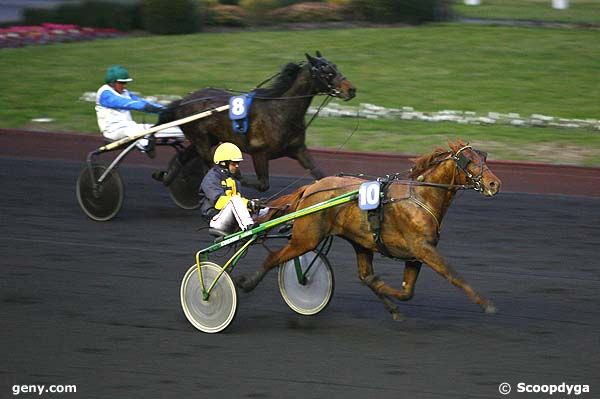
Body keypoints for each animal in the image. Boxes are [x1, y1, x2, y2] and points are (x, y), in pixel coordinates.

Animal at [159, 51, 356, 192]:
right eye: (327, 72)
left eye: (335, 67)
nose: (351, 89)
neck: (280, 112)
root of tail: (182, 101)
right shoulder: (259, 153)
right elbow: (262, 185)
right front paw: (238, 176)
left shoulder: (298, 149)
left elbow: (321, 175)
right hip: (201, 139)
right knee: (208, 162)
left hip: (208, 138)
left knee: (183, 157)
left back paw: (165, 177)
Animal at [234, 141, 502, 322]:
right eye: (469, 160)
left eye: (483, 157)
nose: (494, 183)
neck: (420, 196)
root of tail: (311, 188)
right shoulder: (424, 249)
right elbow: (453, 275)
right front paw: (486, 303)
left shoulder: (416, 255)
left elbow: (406, 291)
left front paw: (391, 300)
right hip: (306, 239)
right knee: (273, 257)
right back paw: (247, 282)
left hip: (360, 241)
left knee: (364, 274)